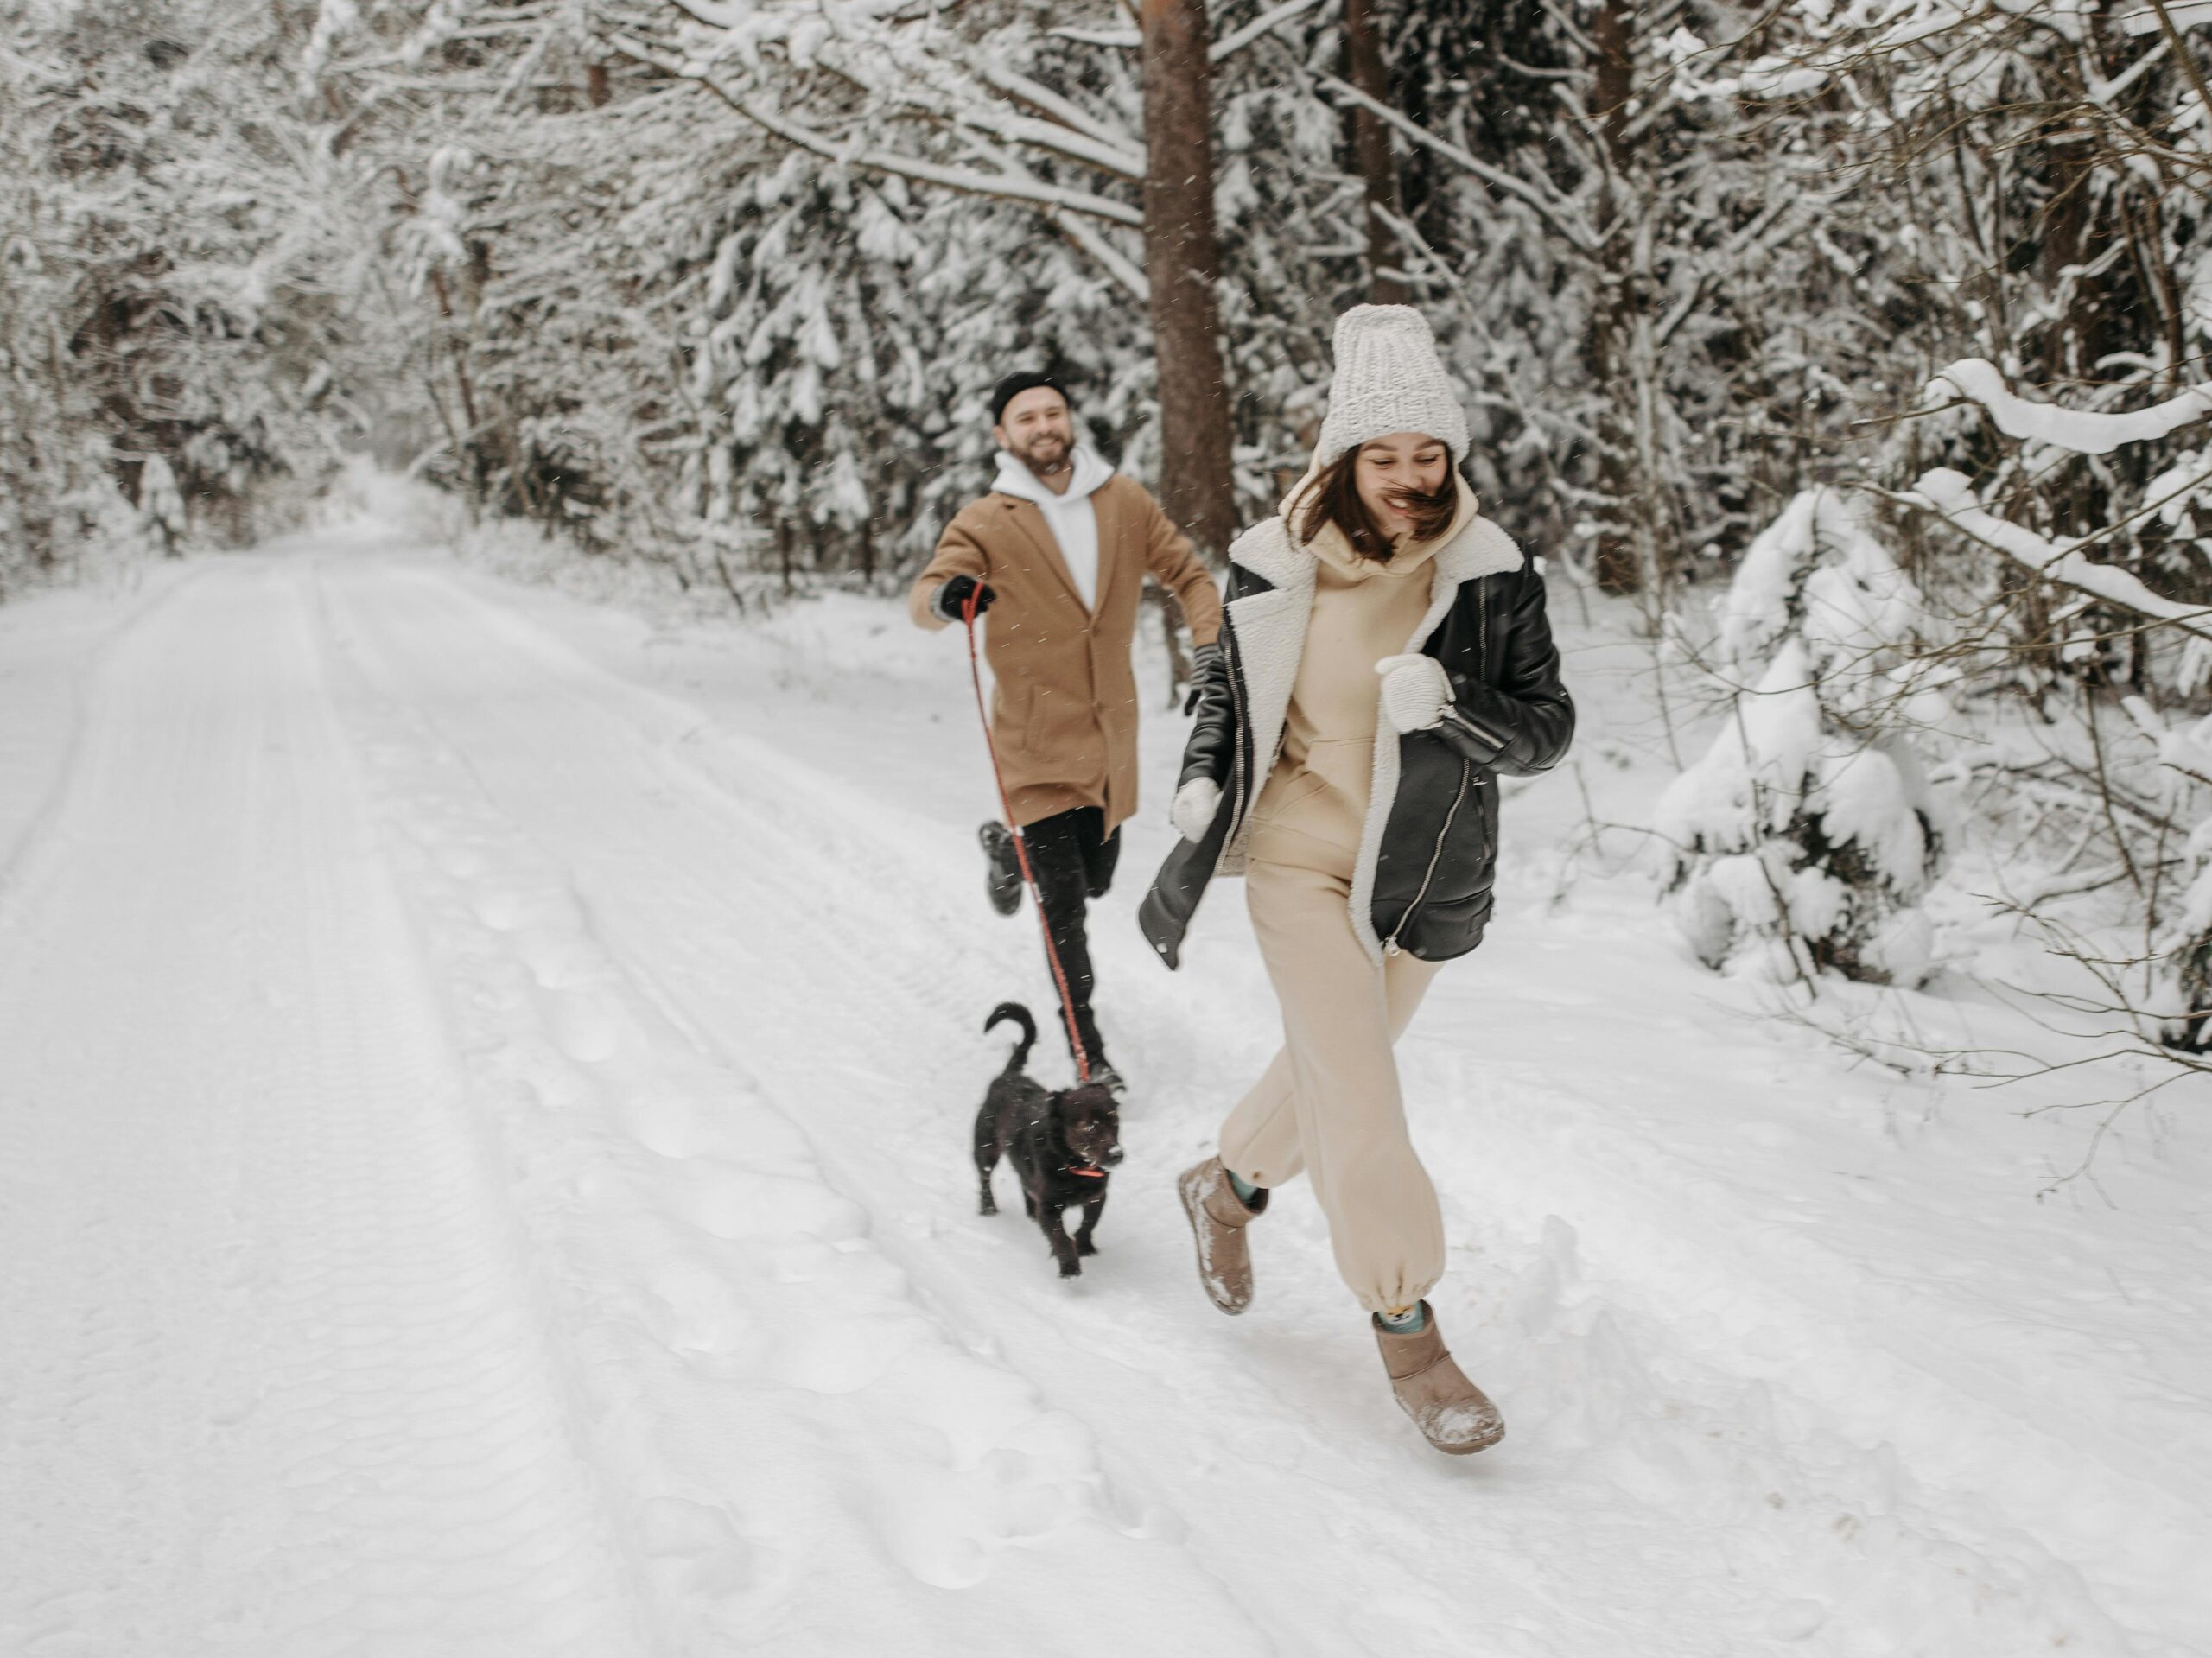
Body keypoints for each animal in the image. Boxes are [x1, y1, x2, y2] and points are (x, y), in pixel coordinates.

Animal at [977, 999, 1123, 1282]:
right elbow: (1061, 1237)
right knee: (985, 1177)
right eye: (1089, 1126)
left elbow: (1088, 1223)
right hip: (985, 1147)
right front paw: (1070, 1266)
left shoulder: (1097, 1196)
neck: (1073, 1165)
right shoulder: (1049, 1207)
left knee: (1024, 1183)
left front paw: (1085, 1246)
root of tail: (1009, 1075)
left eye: (1115, 1121)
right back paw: (988, 1208)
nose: (1117, 1154)